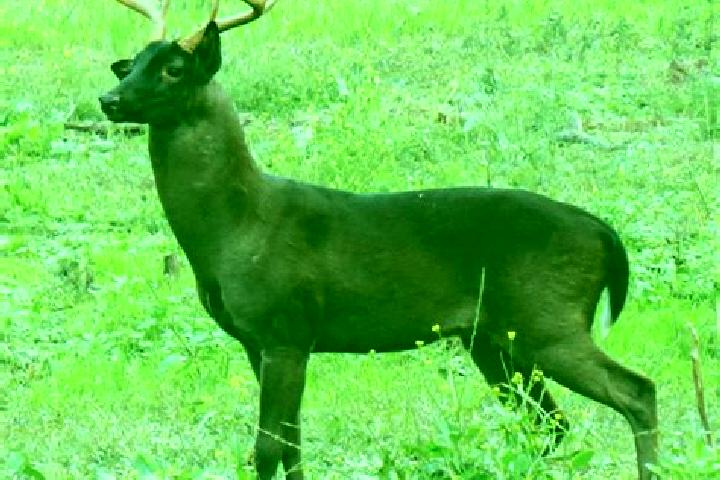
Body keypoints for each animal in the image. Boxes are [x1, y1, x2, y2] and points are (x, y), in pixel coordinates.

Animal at [97, 1, 658, 478]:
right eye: (130, 66)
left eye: (173, 68)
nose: (108, 99)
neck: (234, 230)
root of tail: (606, 236)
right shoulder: (260, 342)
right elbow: (293, 444)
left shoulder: (286, 326)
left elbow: (267, 448)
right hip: (493, 336)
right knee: (550, 423)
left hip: (548, 315)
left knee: (636, 391)